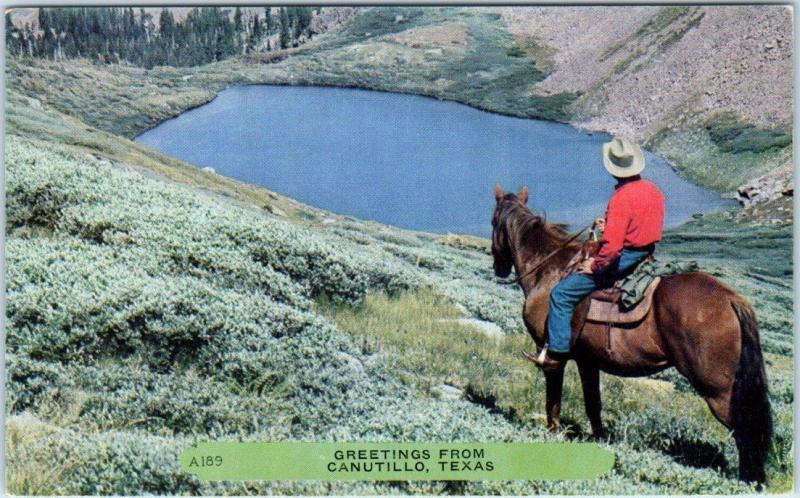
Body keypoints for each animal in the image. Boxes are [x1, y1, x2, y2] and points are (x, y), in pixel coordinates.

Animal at [490, 184, 772, 482]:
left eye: (493, 221)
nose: (499, 268)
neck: (547, 270)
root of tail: (731, 300)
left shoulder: (553, 358)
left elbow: (552, 401)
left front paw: (552, 434)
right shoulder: (587, 361)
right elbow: (593, 404)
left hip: (718, 391)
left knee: (745, 433)